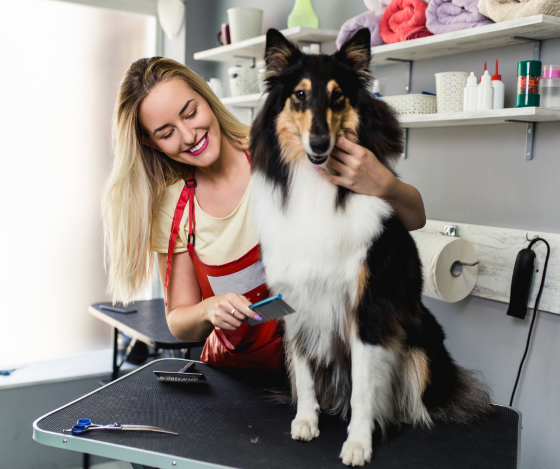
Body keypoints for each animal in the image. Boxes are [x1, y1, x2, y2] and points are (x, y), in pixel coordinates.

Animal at [248, 28, 490, 464]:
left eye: (338, 96)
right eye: (300, 95)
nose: (319, 143)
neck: (316, 184)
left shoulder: (369, 307)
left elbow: (364, 387)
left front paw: (359, 443)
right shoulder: (296, 303)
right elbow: (305, 374)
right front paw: (306, 420)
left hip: (421, 348)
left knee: (411, 398)